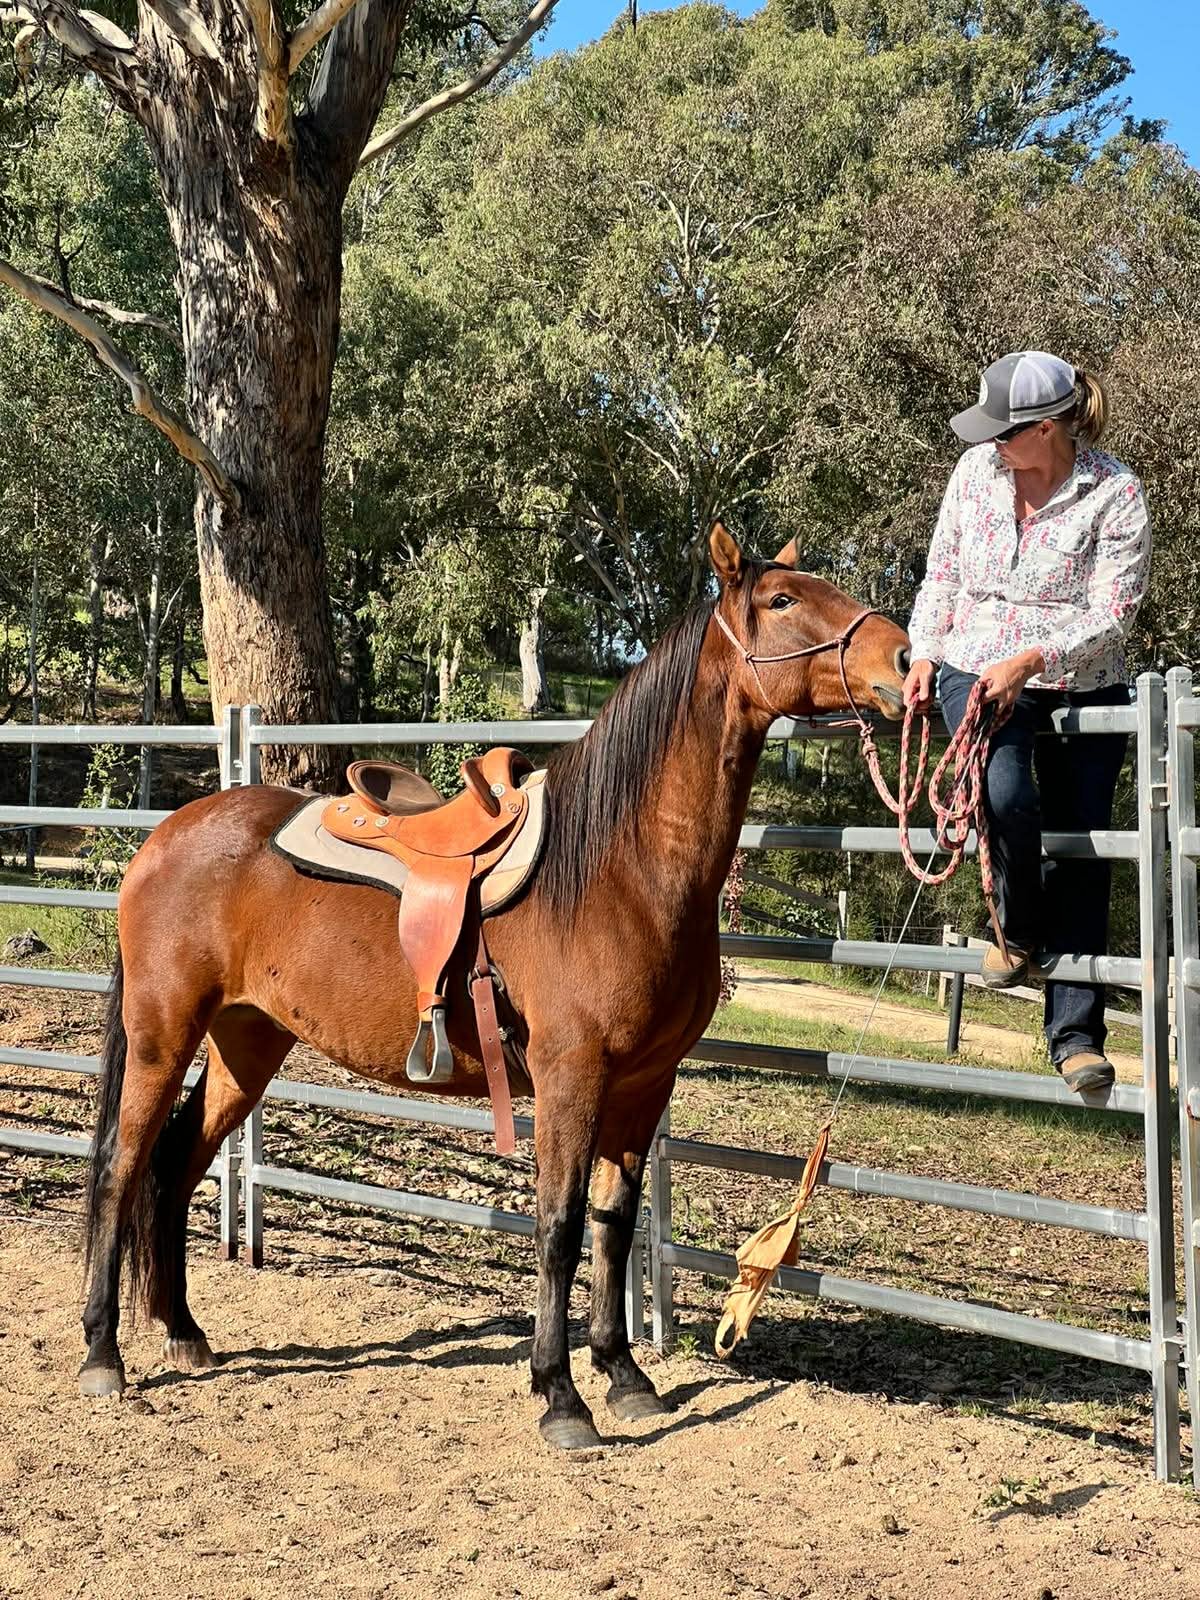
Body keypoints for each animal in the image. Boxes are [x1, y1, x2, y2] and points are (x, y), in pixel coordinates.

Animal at [80, 524, 909, 1449]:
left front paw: (625, 1376)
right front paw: (560, 1395)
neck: (619, 868)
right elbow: (558, 1226)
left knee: (178, 1161)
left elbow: (615, 1226)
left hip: (246, 1043)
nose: (902, 658)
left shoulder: (644, 1084)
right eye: (783, 600)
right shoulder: (570, 1078)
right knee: (121, 1163)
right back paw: (104, 1355)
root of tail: (165, 838)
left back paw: (184, 1332)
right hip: (163, 1033)